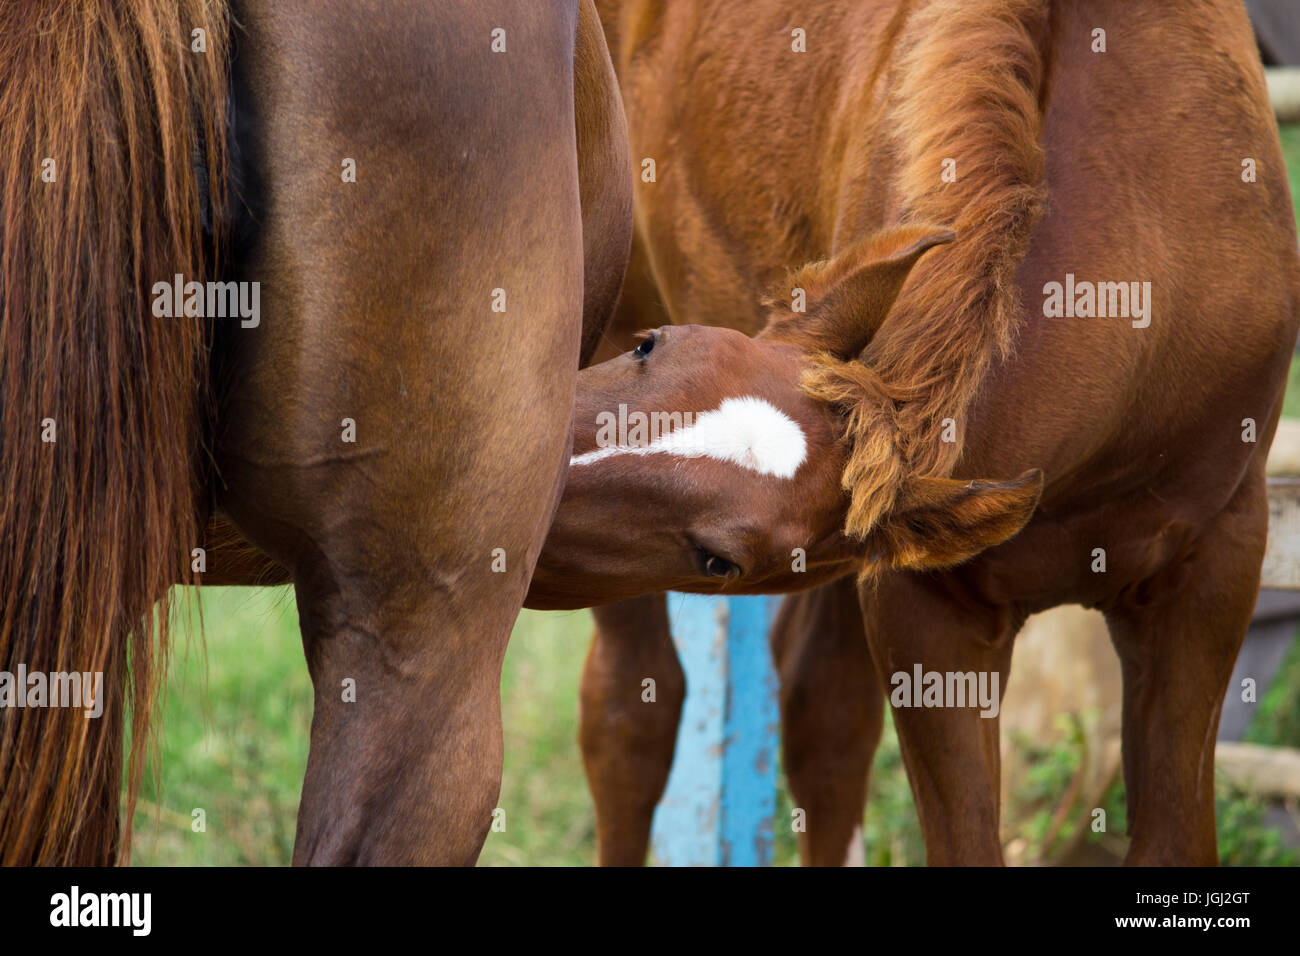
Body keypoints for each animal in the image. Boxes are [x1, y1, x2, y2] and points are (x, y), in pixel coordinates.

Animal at [526, 0, 1300, 866]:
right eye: (650, 347)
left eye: (719, 562)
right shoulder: (924, 606)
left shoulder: (1213, 575)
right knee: (633, 715)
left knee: (815, 714)